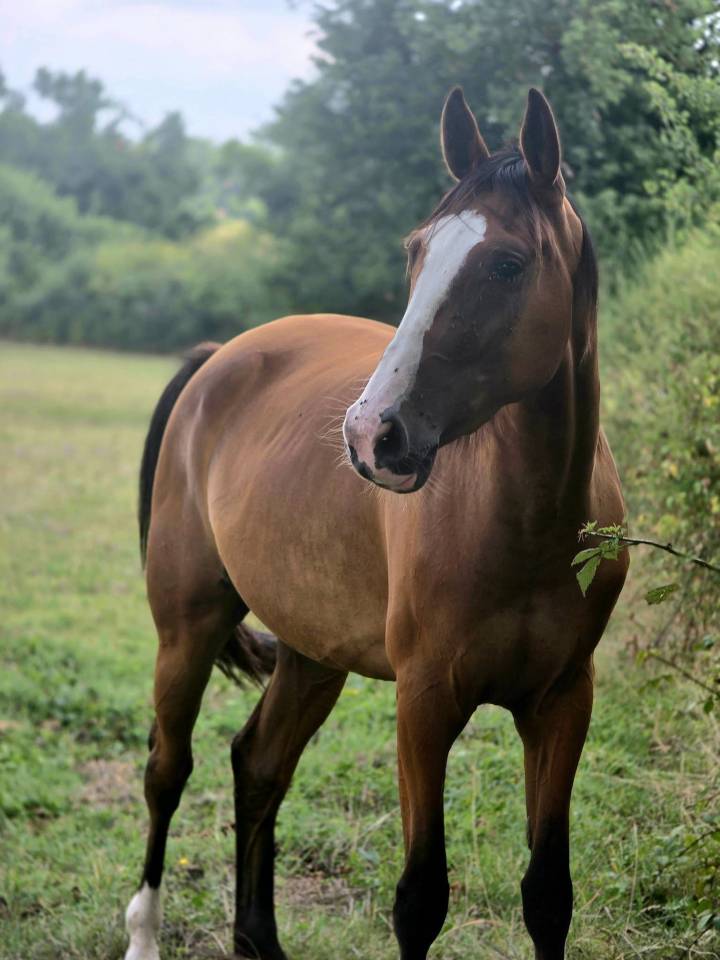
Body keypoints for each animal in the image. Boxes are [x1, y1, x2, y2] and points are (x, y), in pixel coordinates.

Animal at [124, 87, 628, 960]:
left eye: (507, 263)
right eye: (417, 250)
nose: (371, 436)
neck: (528, 524)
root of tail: (219, 358)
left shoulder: (564, 701)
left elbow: (548, 894)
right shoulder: (424, 705)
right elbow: (420, 899)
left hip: (312, 653)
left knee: (258, 764)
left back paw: (259, 940)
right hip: (187, 625)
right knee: (168, 768)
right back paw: (143, 935)